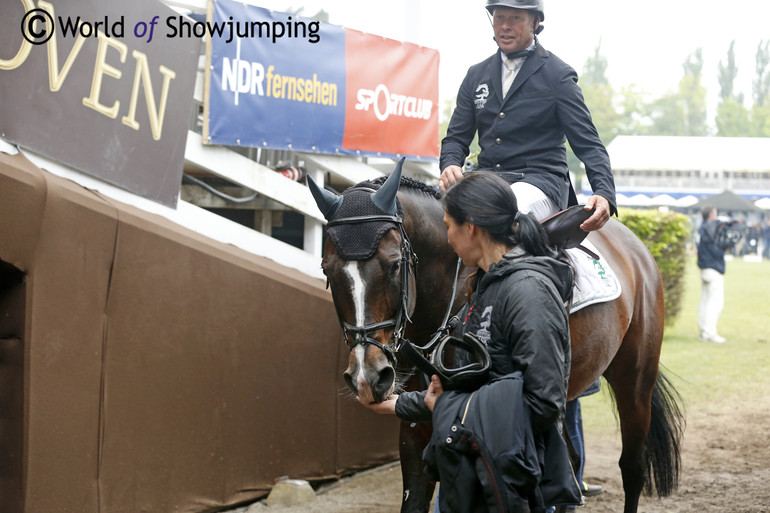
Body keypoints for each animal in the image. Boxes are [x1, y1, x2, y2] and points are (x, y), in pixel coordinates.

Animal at [308, 160, 684, 512]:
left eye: (394, 264)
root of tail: (636, 248)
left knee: (631, 467)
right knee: (570, 465)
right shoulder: (415, 430)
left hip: (635, 380)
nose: (368, 377)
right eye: (327, 268)